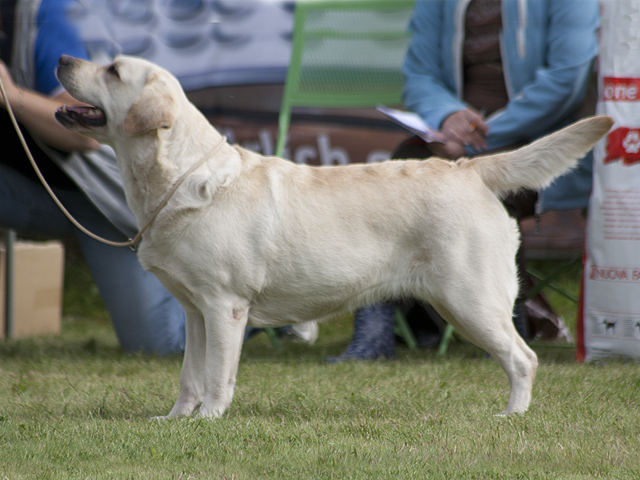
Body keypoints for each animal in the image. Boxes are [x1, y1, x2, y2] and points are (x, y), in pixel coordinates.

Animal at [55, 54, 613, 418]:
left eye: (113, 70)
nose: (61, 58)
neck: (176, 179)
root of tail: (468, 167)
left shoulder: (224, 306)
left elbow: (216, 376)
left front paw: (210, 421)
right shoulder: (195, 310)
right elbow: (190, 374)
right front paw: (176, 421)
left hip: (471, 300)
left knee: (524, 358)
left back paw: (512, 416)